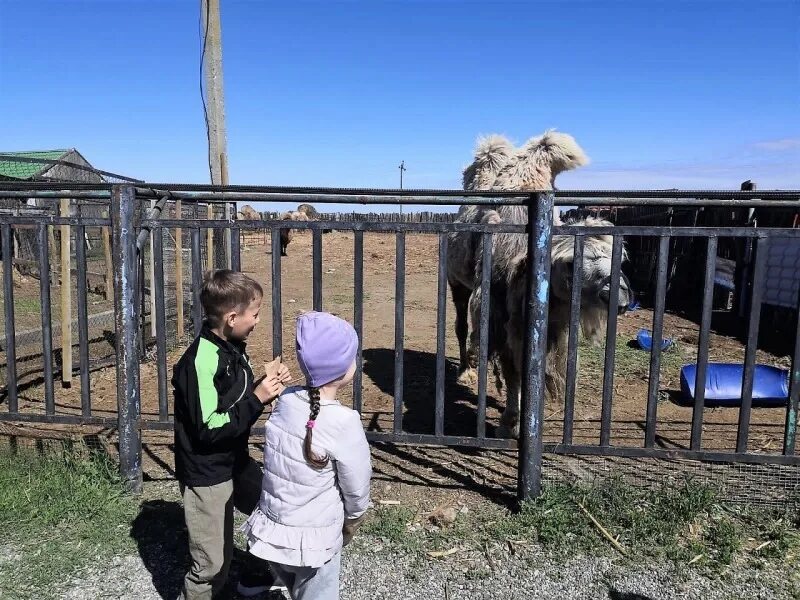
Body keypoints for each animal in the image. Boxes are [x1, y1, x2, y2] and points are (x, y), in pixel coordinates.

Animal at [450, 130, 632, 436]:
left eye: (617, 259)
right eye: (570, 263)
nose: (618, 297)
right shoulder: (504, 316)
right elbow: (512, 370)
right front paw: (510, 422)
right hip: (457, 284)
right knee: (462, 327)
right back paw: (467, 371)